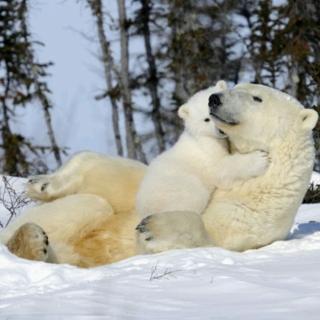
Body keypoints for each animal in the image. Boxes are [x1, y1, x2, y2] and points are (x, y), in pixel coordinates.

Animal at [136, 81, 268, 219]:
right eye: (206, 119)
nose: (220, 130)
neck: (202, 136)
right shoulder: (207, 149)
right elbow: (220, 168)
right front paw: (259, 159)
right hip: (181, 192)